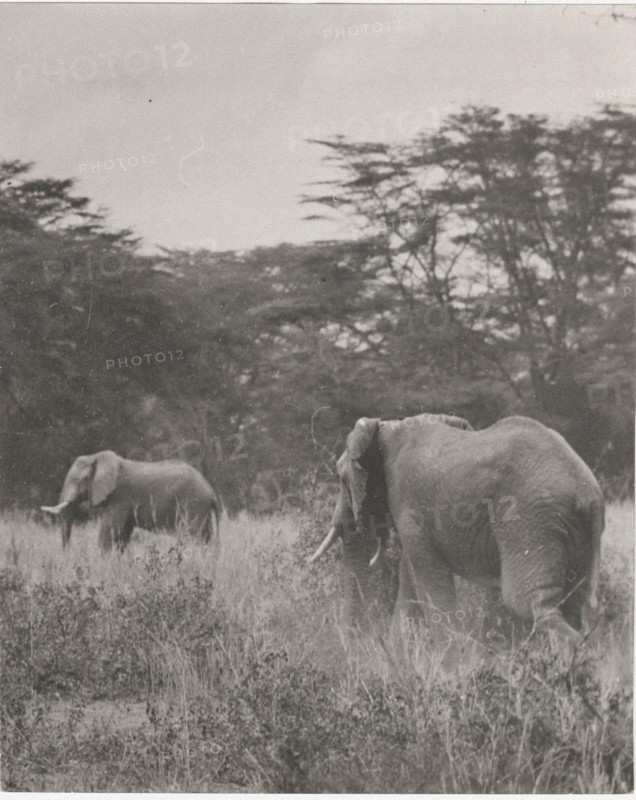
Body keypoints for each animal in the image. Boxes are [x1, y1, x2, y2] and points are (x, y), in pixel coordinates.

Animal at [42, 450, 221, 552]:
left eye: (76, 481)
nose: (67, 553)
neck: (97, 458)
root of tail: (211, 490)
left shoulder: (119, 497)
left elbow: (108, 533)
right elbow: (122, 536)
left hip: (193, 503)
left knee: (192, 535)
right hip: (200, 508)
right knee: (206, 538)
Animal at [310, 414, 604, 646]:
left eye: (341, 478)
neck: (386, 426)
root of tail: (587, 493)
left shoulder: (408, 504)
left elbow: (428, 576)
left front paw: (453, 666)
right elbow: (410, 575)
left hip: (530, 519)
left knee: (527, 602)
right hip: (572, 528)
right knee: (576, 602)